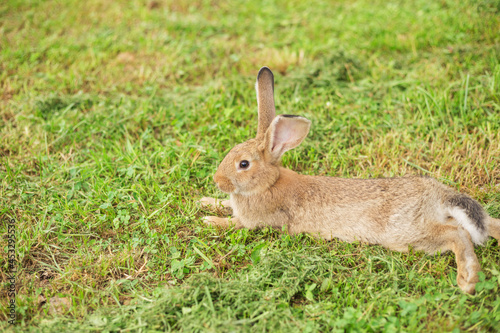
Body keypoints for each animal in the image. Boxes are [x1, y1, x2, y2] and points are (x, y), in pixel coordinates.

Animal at [200, 65, 500, 294]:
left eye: (243, 164)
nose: (218, 181)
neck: (267, 183)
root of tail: (438, 195)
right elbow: (224, 205)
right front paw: (205, 201)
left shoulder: (257, 222)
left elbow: (233, 223)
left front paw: (208, 220)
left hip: (409, 234)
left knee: (457, 235)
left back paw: (467, 280)